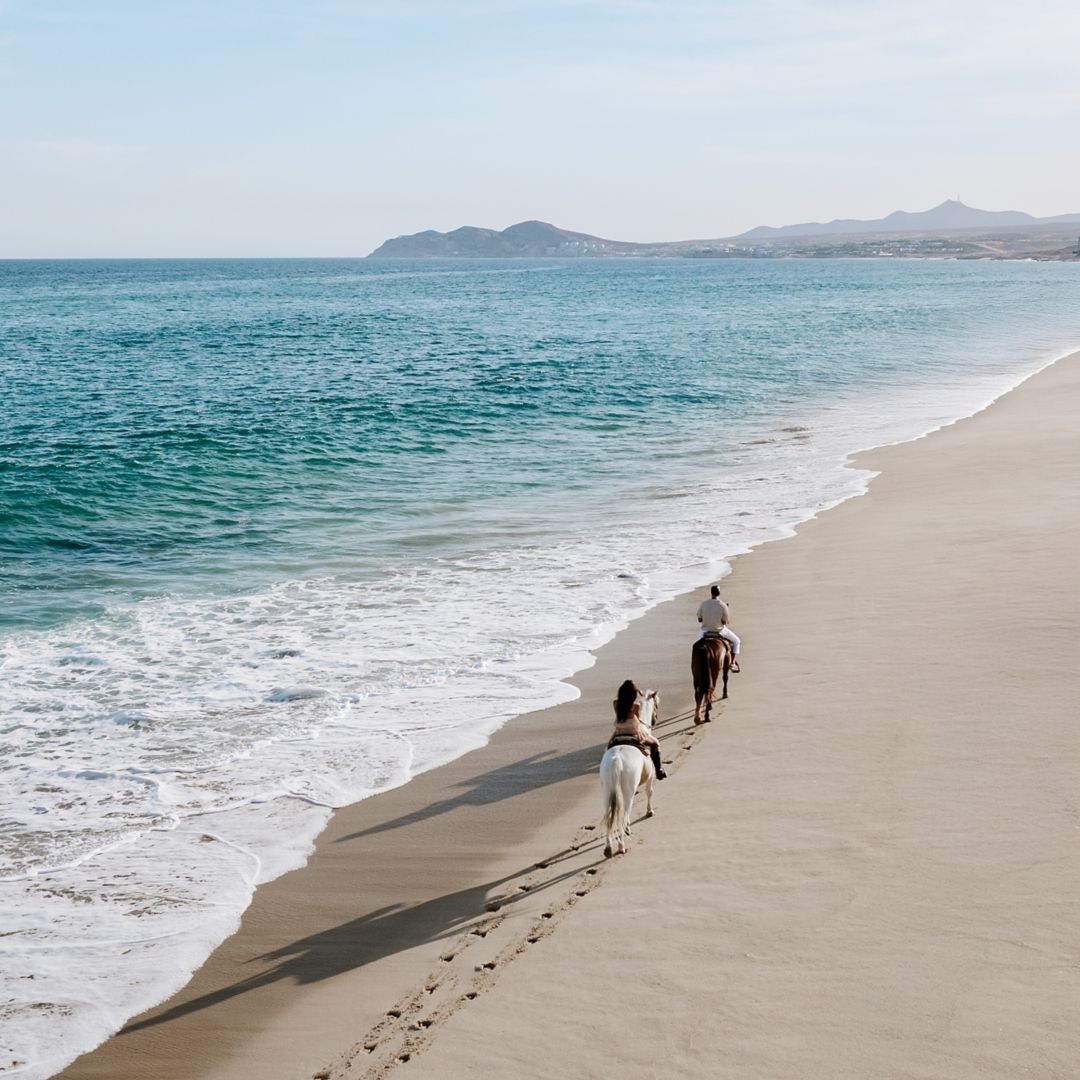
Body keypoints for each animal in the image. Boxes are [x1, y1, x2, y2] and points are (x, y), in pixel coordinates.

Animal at [600, 688, 660, 858]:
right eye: (656, 705)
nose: (655, 720)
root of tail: (616, 760)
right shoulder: (651, 777)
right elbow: (649, 792)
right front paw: (649, 811)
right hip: (627, 793)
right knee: (622, 815)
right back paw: (621, 845)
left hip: (606, 793)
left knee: (609, 816)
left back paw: (608, 848)